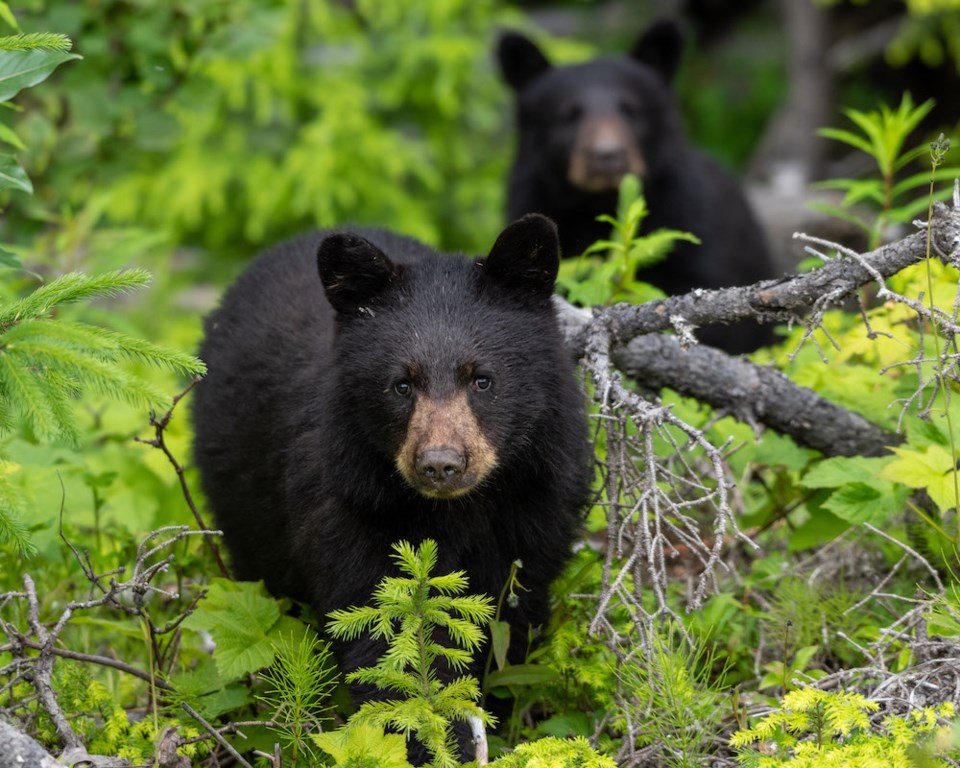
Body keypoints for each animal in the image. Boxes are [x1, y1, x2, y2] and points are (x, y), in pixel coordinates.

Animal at [191, 213, 588, 692]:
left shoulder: (534, 507)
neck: (458, 511)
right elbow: (382, 624)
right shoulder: (352, 504)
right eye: (401, 384)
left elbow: (511, 620)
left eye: (482, 379)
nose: (440, 464)